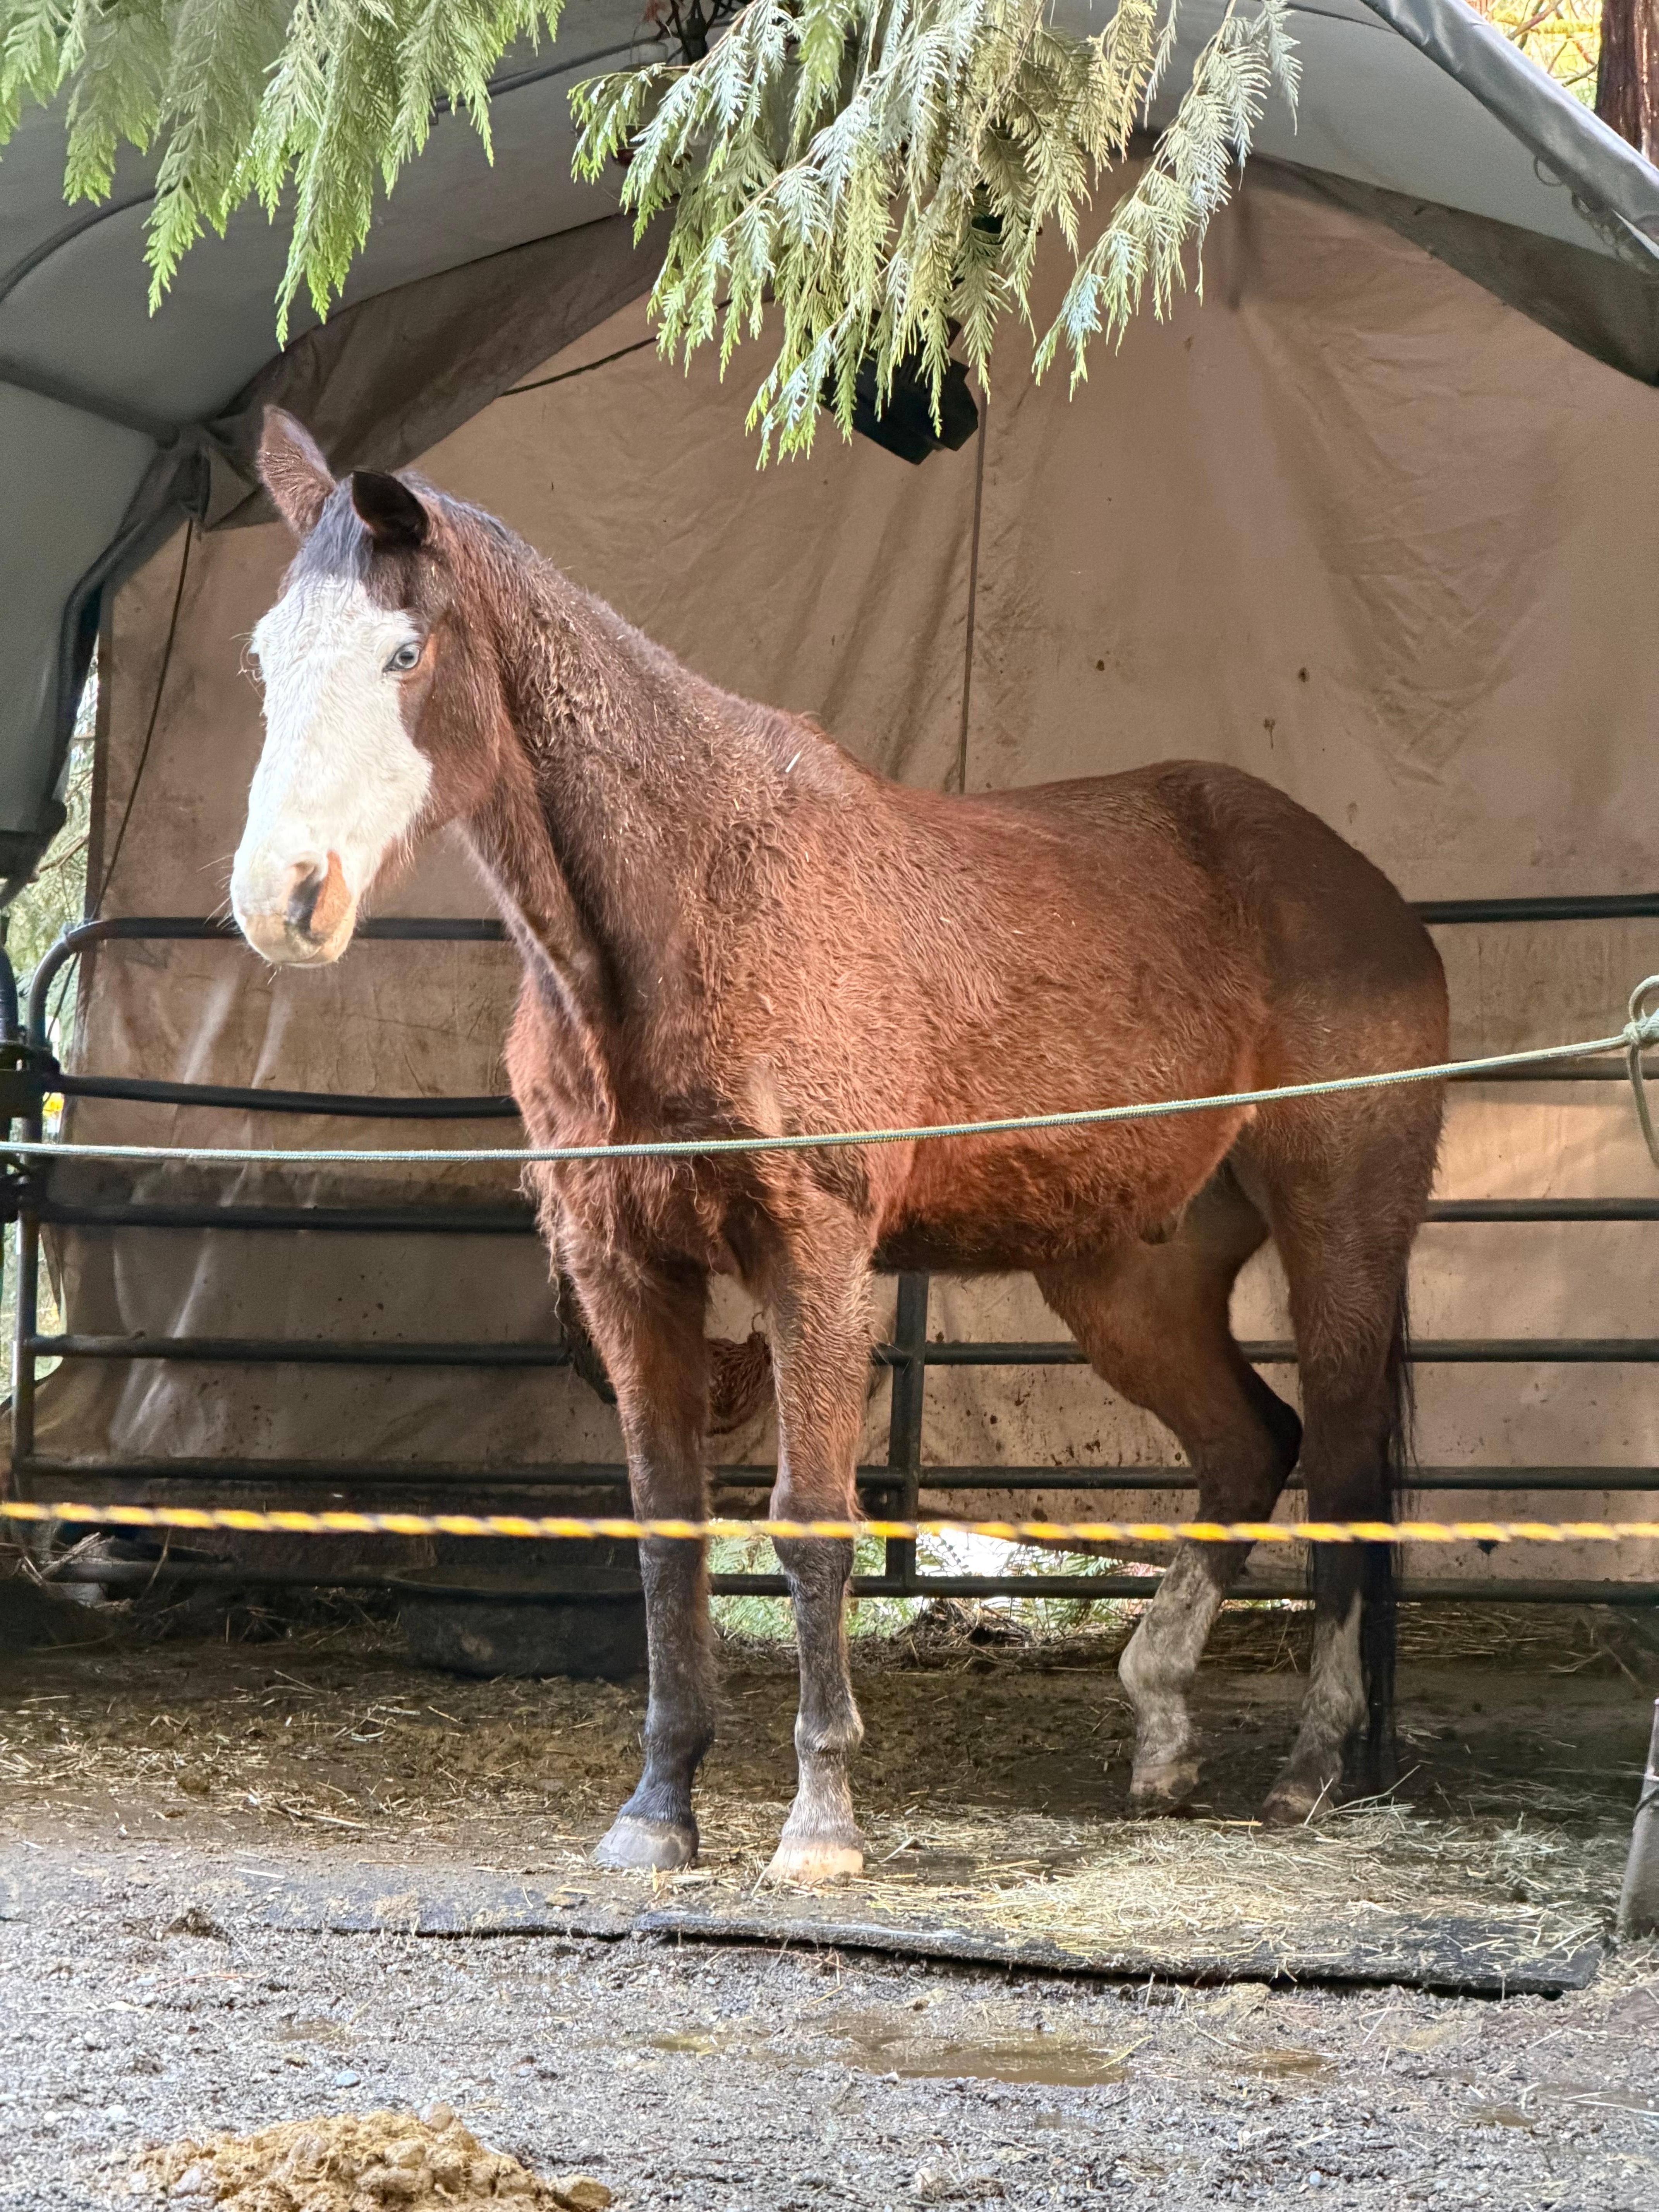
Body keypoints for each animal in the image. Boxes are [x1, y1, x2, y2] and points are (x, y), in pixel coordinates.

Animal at [232, 407, 1448, 1884]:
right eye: (263, 662)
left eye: (404, 653)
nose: (284, 896)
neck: (692, 899)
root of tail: (1364, 890)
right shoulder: (628, 1271)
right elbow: (669, 1540)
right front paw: (658, 1808)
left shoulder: (811, 1257)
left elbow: (812, 1523)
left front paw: (821, 1822)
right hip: (1129, 1276)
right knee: (1248, 1444)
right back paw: (1160, 1730)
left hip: (1340, 1232)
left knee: (1343, 1468)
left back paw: (1313, 1764)